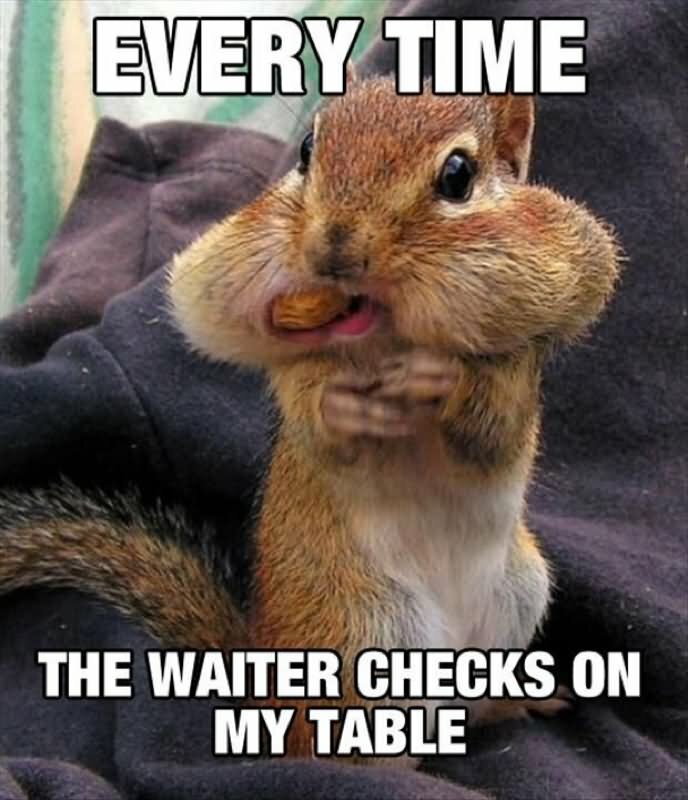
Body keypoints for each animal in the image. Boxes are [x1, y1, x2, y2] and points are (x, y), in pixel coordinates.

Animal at [0, 75, 620, 765]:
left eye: (459, 175)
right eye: (305, 149)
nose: (335, 249)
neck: (386, 337)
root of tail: (262, 689)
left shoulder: (517, 371)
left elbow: (491, 429)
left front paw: (444, 378)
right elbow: (309, 402)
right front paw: (342, 405)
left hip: (516, 596)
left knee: (470, 707)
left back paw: (513, 702)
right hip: (363, 640)